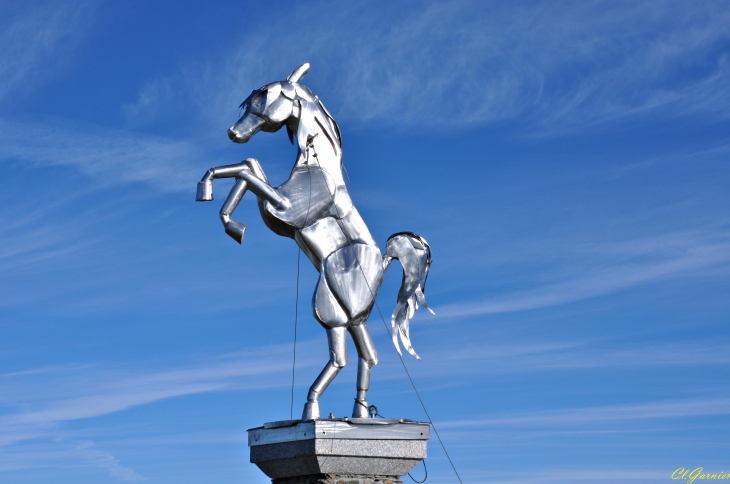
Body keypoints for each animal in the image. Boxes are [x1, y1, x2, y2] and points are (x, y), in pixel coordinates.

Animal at [195, 63, 432, 420]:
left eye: (265, 98)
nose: (233, 133)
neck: (317, 167)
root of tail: (387, 259)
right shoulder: (276, 208)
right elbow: (249, 166)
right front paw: (210, 196)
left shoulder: (284, 208)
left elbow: (246, 173)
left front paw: (233, 224)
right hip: (352, 313)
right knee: (368, 355)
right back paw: (360, 413)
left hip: (330, 307)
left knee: (342, 356)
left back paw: (313, 410)